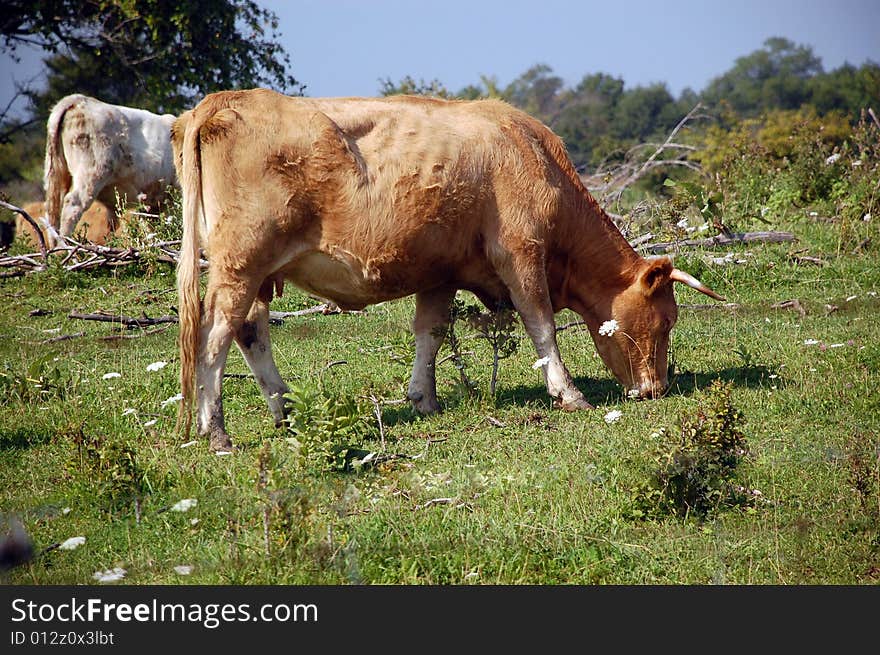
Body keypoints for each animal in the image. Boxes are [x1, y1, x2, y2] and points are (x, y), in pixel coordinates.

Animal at [172, 89, 720, 454]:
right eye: (666, 321)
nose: (656, 389)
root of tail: (222, 101)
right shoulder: (520, 254)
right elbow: (542, 324)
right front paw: (568, 394)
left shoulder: (440, 272)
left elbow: (430, 333)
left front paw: (424, 399)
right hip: (240, 264)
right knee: (215, 336)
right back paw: (216, 431)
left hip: (256, 273)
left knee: (250, 332)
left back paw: (285, 412)